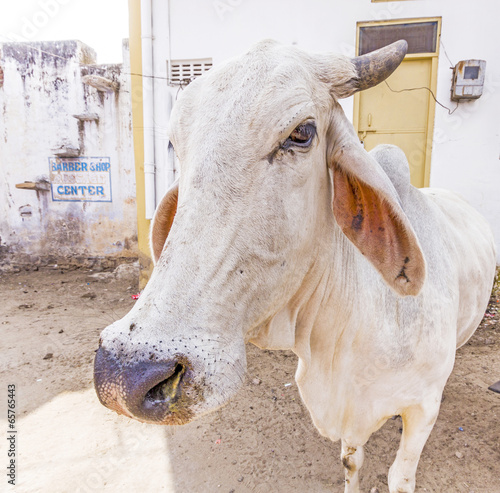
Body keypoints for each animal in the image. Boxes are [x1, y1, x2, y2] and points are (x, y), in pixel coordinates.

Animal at [94, 40, 496, 490]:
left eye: (302, 133)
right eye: (176, 146)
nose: (122, 374)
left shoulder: (422, 409)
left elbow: (399, 476)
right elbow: (352, 463)